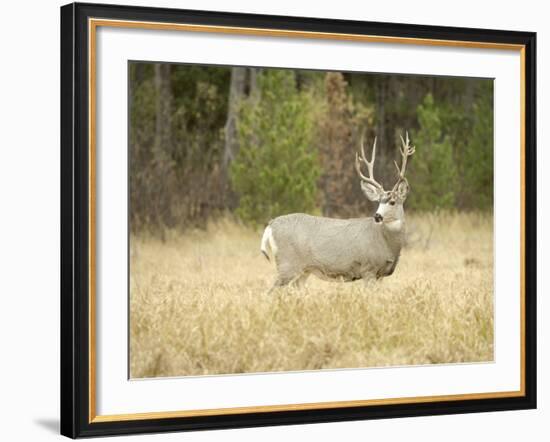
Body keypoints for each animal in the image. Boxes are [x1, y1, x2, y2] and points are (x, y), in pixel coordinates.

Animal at [260, 131, 416, 292]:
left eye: (392, 202)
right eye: (379, 202)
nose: (377, 216)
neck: (387, 243)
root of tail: (271, 225)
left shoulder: (381, 275)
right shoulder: (368, 268)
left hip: (303, 271)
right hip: (287, 263)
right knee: (271, 291)